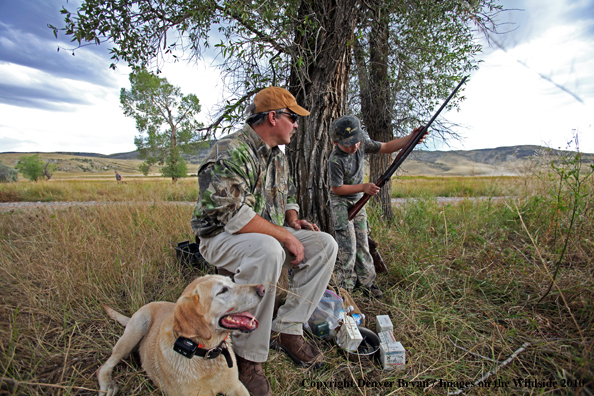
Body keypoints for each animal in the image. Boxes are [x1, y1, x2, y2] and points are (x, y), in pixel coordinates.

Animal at [97, 276, 264, 396]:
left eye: (232, 281)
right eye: (222, 290)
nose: (262, 288)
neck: (206, 353)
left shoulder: (236, 385)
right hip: (136, 328)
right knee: (105, 365)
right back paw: (108, 385)